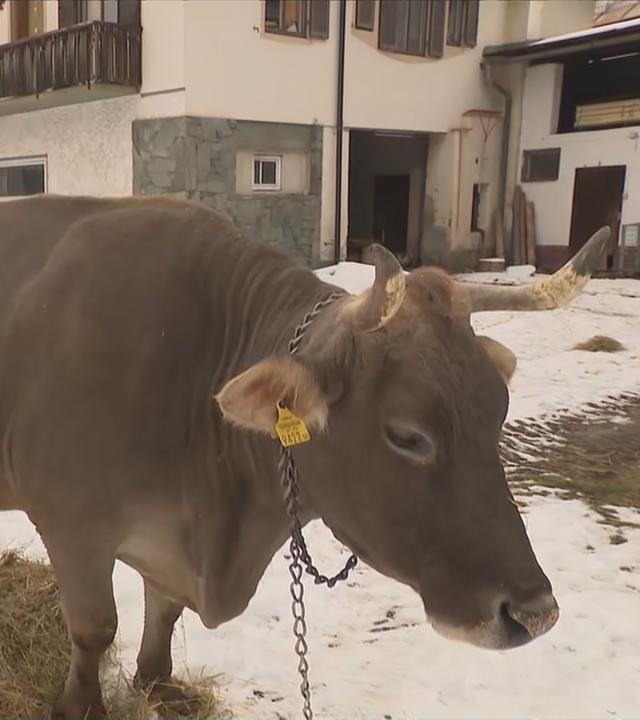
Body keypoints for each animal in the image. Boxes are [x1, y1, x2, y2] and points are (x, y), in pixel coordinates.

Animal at [0, 195, 608, 719]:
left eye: (499, 410)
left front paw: (157, 682)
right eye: (407, 435)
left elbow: (166, 608)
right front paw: (80, 707)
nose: (534, 612)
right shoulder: (72, 524)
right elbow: (94, 627)